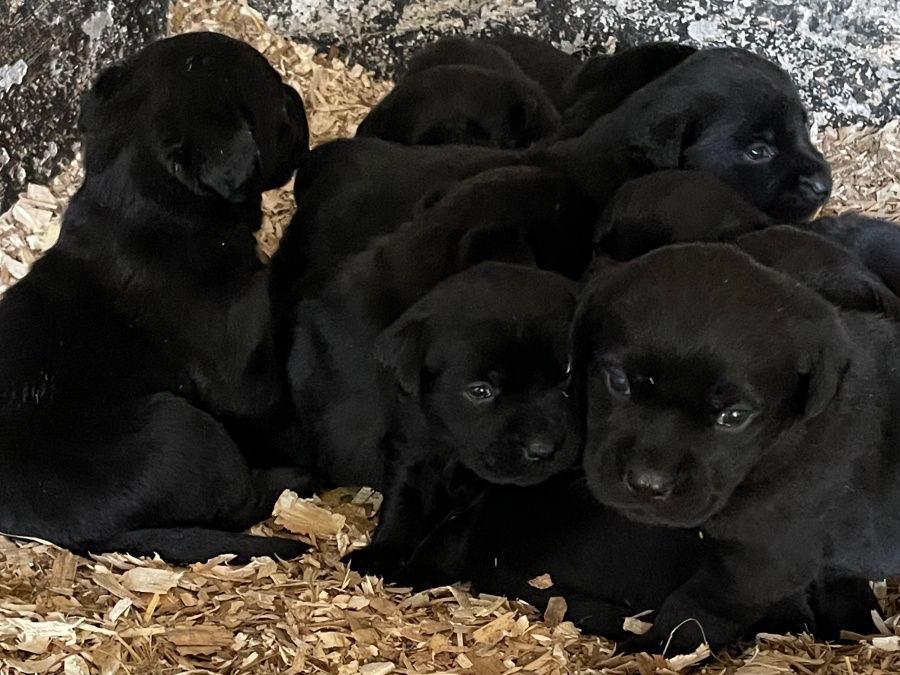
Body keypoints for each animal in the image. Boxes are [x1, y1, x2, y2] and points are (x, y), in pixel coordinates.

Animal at [0, 31, 312, 564]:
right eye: (281, 108)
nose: (297, 99)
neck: (143, 210)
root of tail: (83, 539)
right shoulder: (246, 384)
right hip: (185, 432)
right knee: (241, 502)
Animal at [286, 168, 584, 576]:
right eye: (480, 390)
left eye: (567, 374)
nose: (543, 449)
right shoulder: (412, 450)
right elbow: (404, 504)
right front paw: (381, 553)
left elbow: (456, 528)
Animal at [572, 243, 900, 656]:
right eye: (618, 382)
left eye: (733, 416)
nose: (647, 483)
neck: (783, 443)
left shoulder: (758, 565)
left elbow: (694, 611)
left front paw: (651, 649)